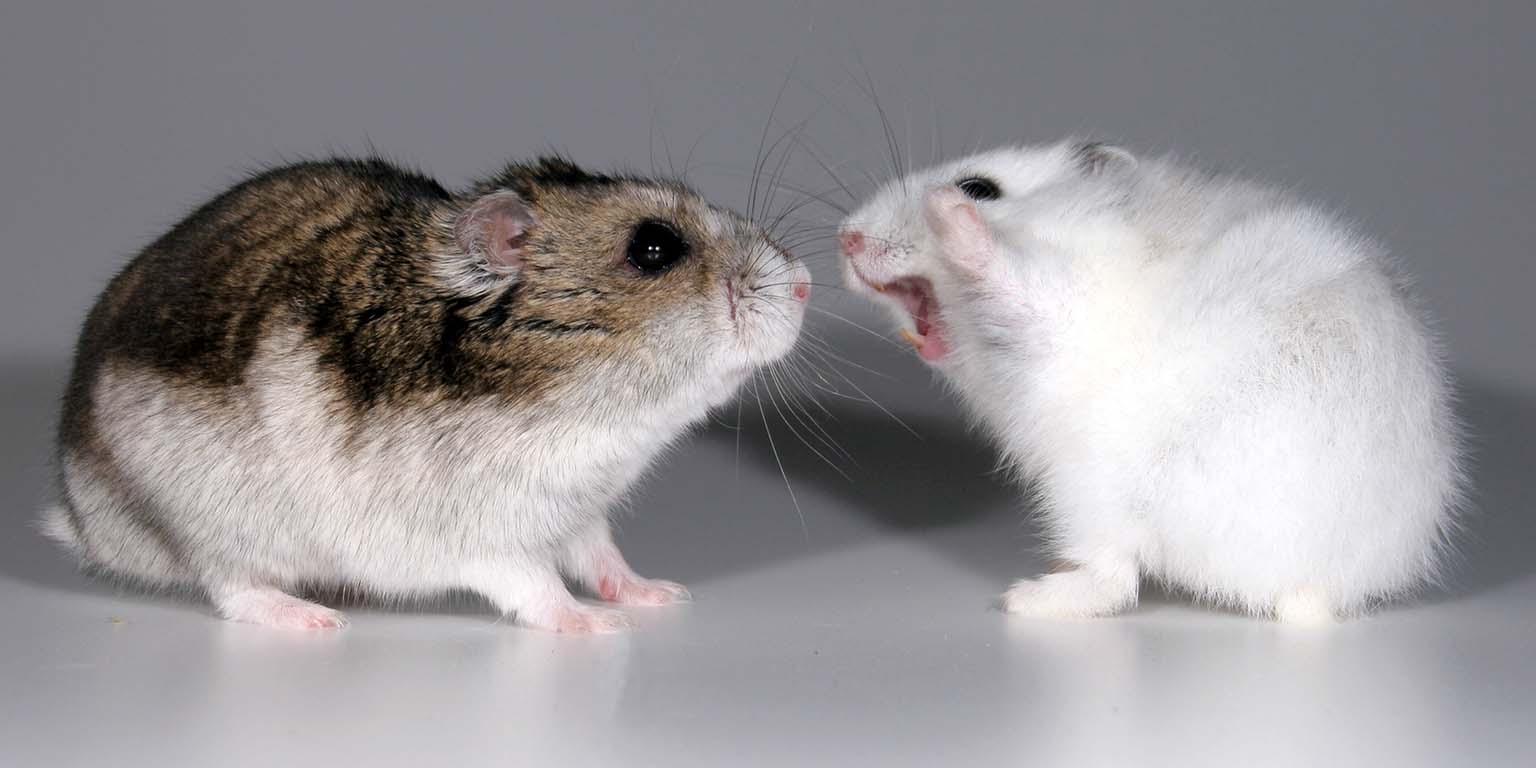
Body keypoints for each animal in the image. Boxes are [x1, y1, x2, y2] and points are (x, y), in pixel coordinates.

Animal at [44, 154, 817, 629]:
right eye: (654, 248)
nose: (807, 284)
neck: (596, 409)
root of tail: (82, 517)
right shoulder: (484, 535)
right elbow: (537, 585)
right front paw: (599, 625)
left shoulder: (578, 512)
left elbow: (603, 557)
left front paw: (660, 595)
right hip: (212, 525)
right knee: (232, 587)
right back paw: (315, 618)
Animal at [841, 138, 1462, 620]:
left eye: (981, 186)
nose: (845, 237)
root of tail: (1313, 589)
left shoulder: (1059, 300)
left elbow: (1004, 272)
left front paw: (947, 210)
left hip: (1091, 494)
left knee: (1113, 582)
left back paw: (1021, 598)